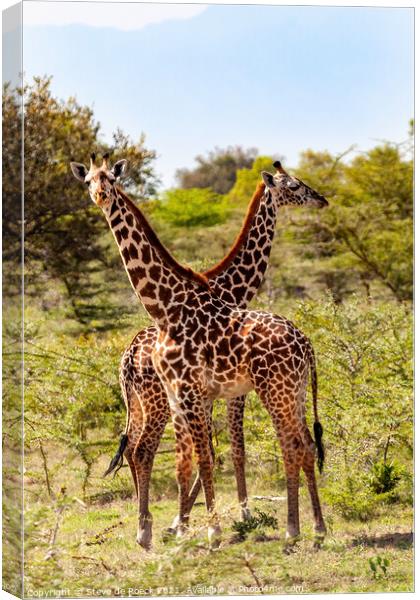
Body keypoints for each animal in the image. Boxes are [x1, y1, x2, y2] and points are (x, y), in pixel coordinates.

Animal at [71, 154, 328, 548]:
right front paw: (198, 525)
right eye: (87, 181)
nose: (321, 199)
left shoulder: (204, 393)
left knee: (294, 445)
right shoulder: (195, 394)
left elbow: (212, 453)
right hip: (189, 399)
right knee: (140, 448)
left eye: (110, 180)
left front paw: (206, 526)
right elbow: (201, 455)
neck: (167, 306)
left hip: (270, 392)